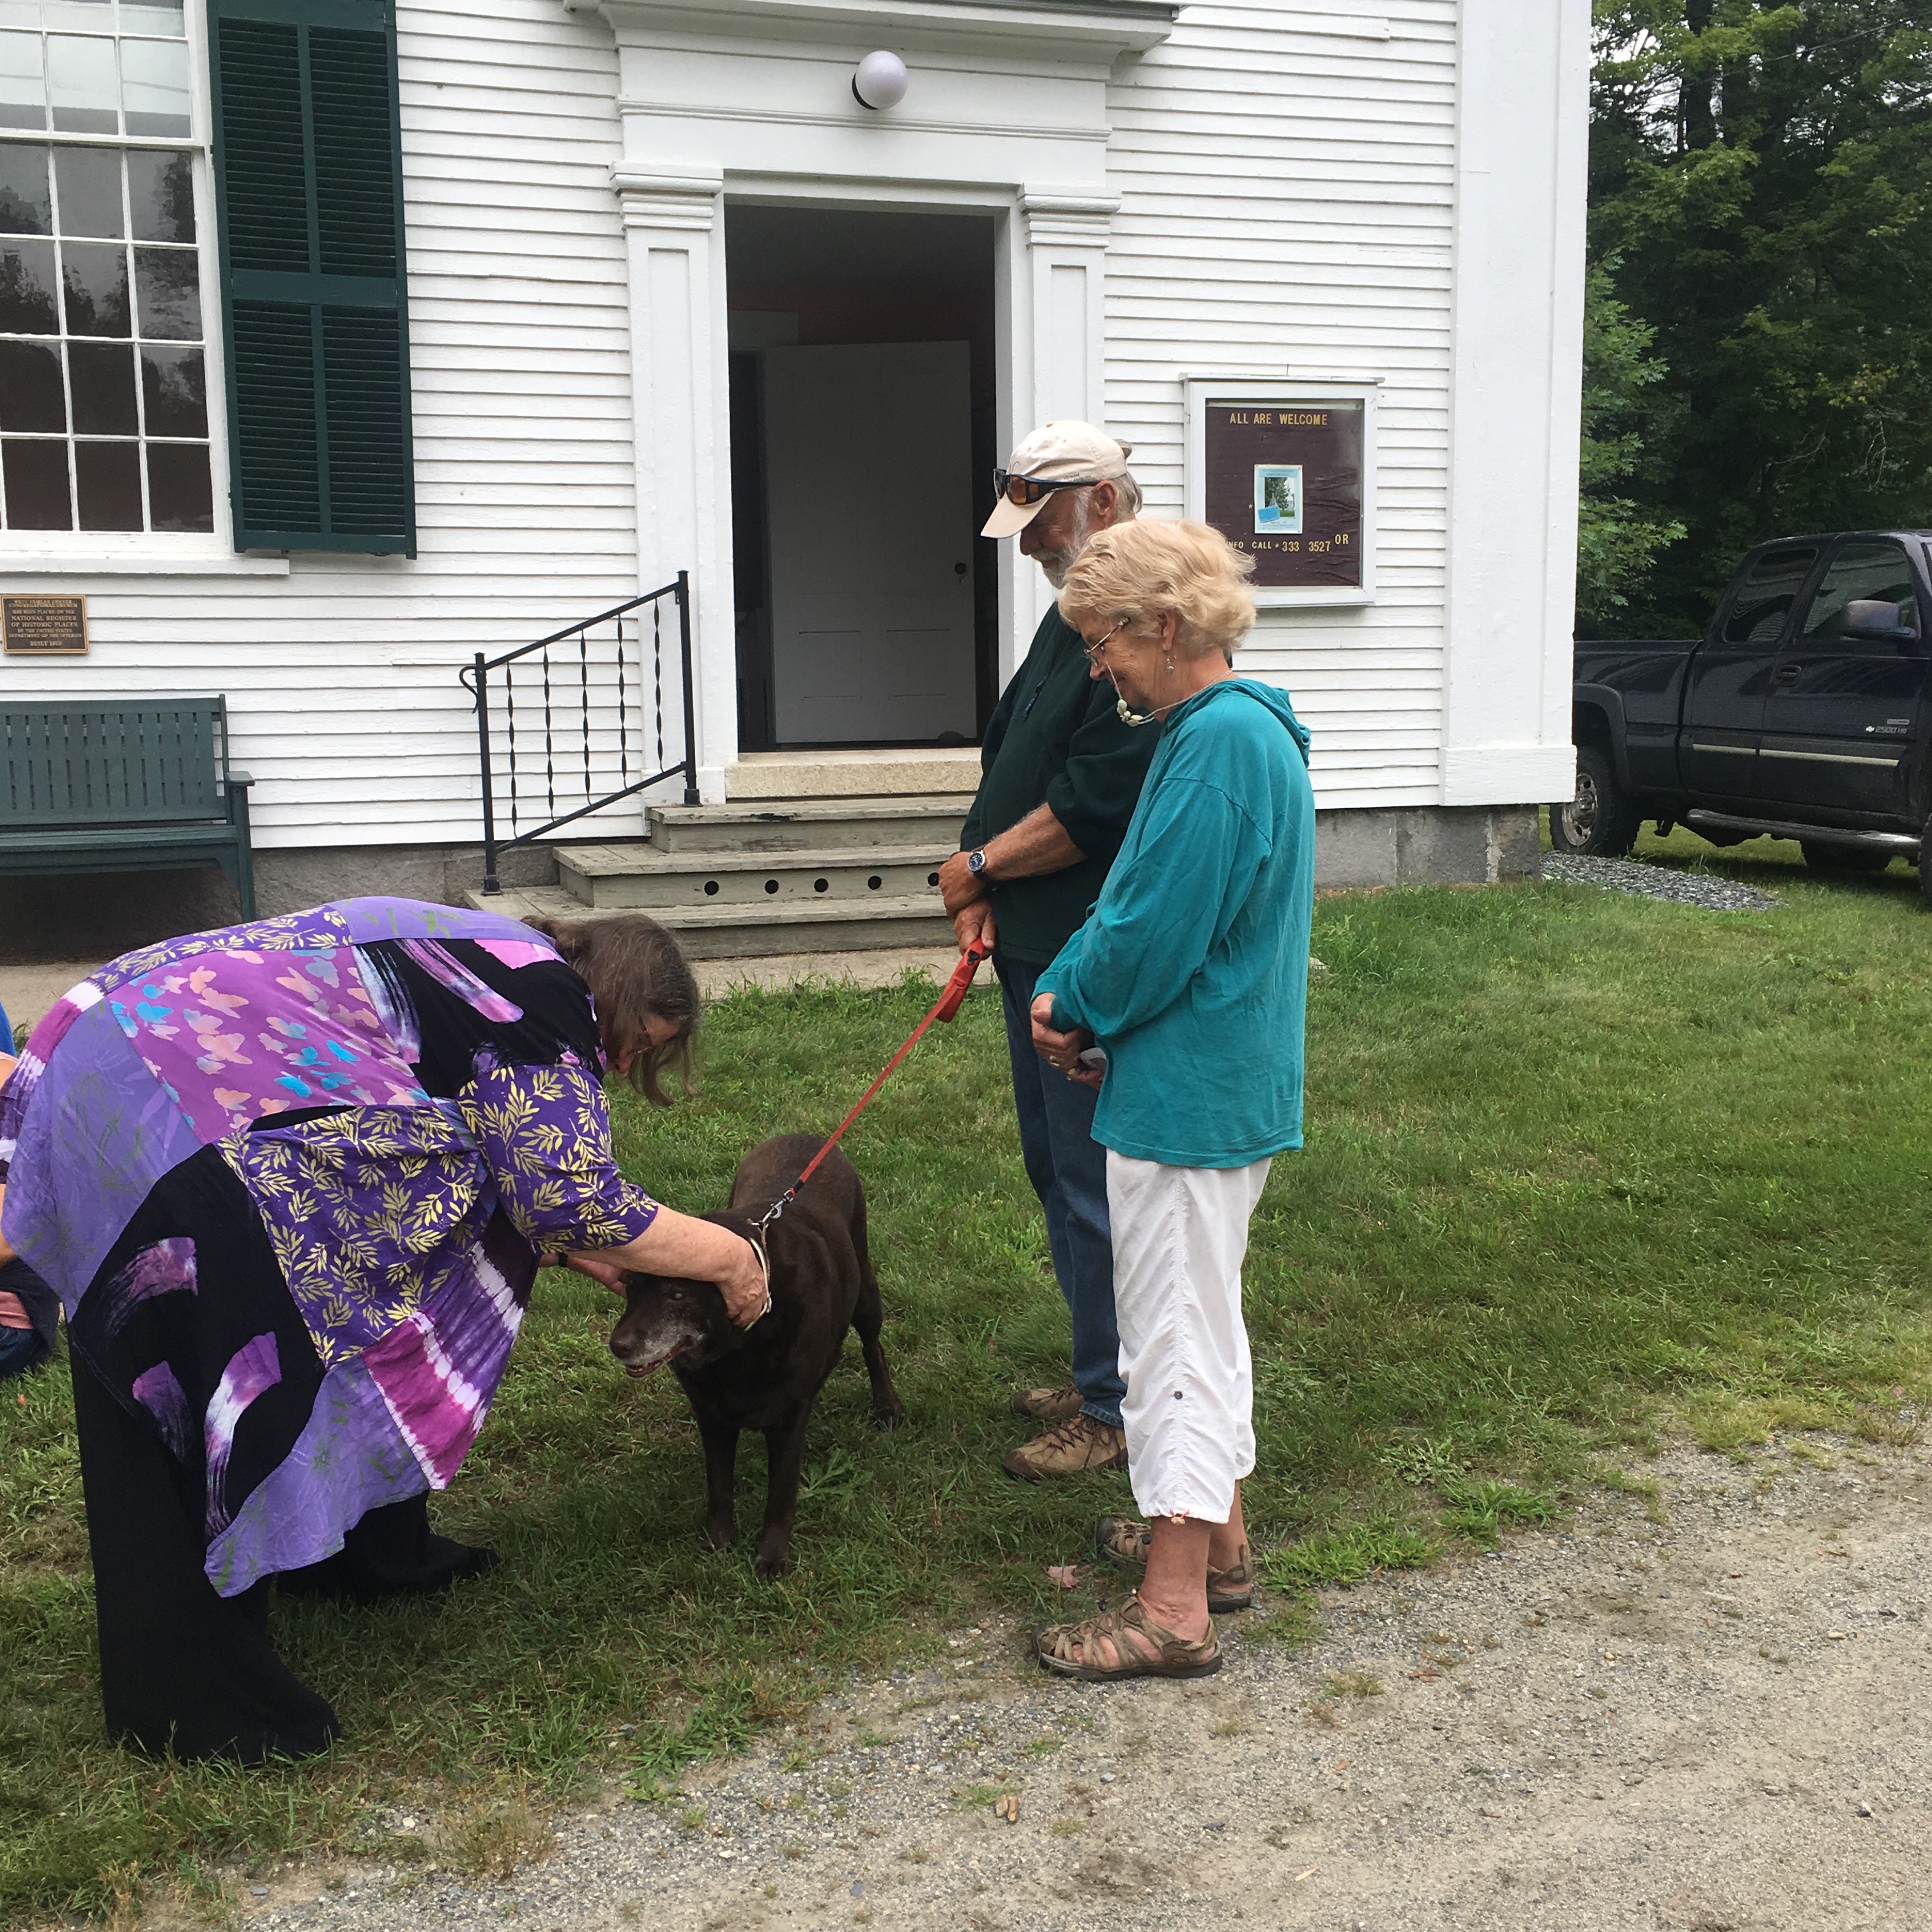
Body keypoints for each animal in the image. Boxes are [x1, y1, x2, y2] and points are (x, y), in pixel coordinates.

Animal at [606, 1136, 900, 1576]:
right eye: (631, 1286)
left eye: (677, 1294)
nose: (618, 1345)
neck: (737, 1350)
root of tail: (807, 1135)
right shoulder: (711, 1416)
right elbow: (719, 1486)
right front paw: (719, 1540)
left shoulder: (789, 1418)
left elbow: (781, 1492)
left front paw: (772, 1556)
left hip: (865, 1287)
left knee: (872, 1345)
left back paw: (887, 1406)